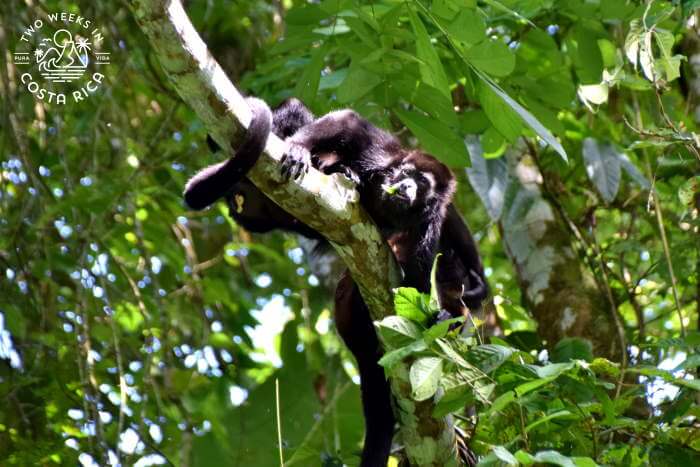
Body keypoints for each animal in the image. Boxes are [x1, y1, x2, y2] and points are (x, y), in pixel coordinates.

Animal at [184, 97, 487, 466]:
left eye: (423, 186)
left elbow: (419, 281)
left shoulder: (430, 222)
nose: (406, 187)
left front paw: (442, 315)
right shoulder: (382, 156)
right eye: (408, 175)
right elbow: (348, 124)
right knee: (296, 112)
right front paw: (301, 149)